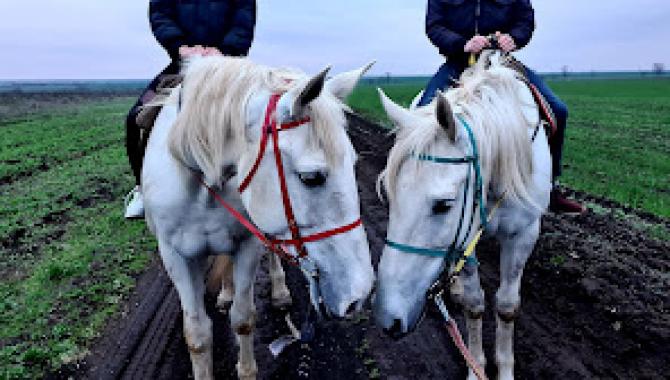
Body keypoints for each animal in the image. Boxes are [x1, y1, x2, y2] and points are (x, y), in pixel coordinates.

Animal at [141, 57, 376, 380]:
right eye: (311, 177)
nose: (360, 294)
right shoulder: (175, 255)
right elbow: (197, 336)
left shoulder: (248, 243)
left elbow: (243, 319)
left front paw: (247, 369)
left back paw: (279, 291)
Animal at [372, 54, 552, 380]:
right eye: (391, 198)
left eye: (444, 204)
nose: (387, 318)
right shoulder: (465, 239)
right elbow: (474, 303)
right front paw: (475, 366)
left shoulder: (524, 233)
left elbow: (507, 306)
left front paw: (504, 370)